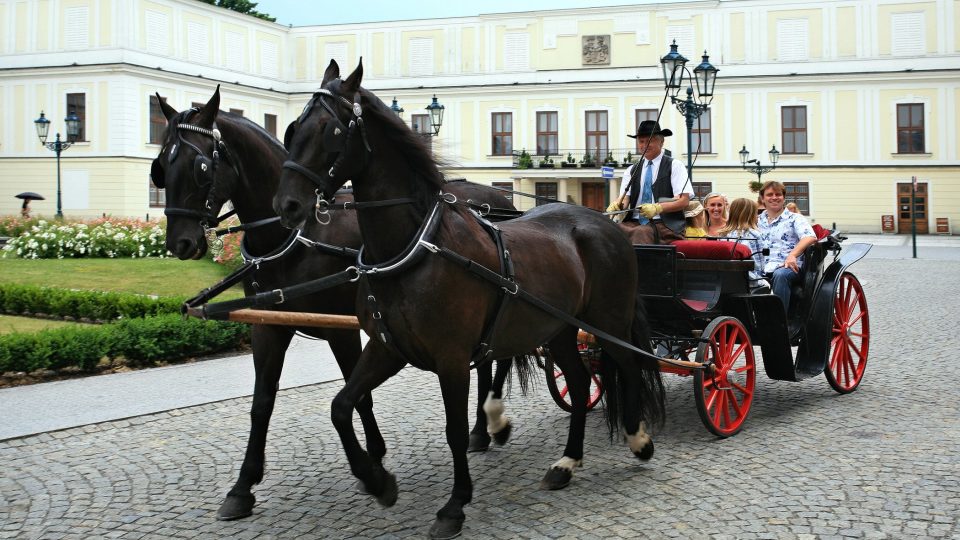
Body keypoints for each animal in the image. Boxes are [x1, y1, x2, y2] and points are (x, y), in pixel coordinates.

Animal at [152, 87, 524, 524]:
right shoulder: (268, 327)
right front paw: (243, 487)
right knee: (485, 360)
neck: (296, 238)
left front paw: (373, 462)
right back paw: (481, 430)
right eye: (161, 167)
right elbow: (262, 404)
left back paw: (489, 424)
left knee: (496, 358)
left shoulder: (339, 329)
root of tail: (494, 196)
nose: (180, 242)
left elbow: (357, 395)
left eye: (201, 167)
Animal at [270, 60, 660, 540]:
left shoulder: (451, 359)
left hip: (608, 321)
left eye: (331, 132)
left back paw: (638, 440)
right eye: (293, 129)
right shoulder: (386, 348)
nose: (286, 205)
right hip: (559, 328)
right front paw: (377, 480)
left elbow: (454, 430)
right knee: (582, 379)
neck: (413, 249)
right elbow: (341, 407)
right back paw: (567, 462)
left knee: (629, 366)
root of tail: (608, 223)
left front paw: (455, 504)